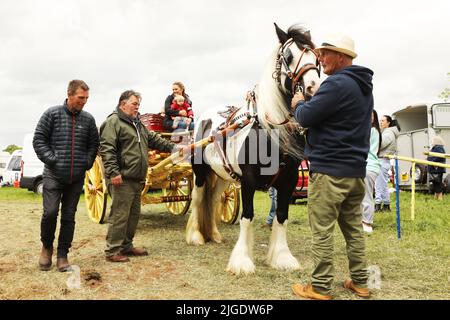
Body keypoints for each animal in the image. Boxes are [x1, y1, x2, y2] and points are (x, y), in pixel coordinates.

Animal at [185, 23, 320, 276]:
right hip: (200, 174)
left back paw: (214, 235)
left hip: (223, 176)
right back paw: (196, 236)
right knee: (198, 200)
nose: (313, 87)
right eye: (288, 56)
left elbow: (282, 216)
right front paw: (242, 261)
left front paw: (281, 257)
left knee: (213, 200)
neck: (269, 130)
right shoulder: (248, 180)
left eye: (316, 58)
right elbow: (247, 216)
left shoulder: (288, 181)